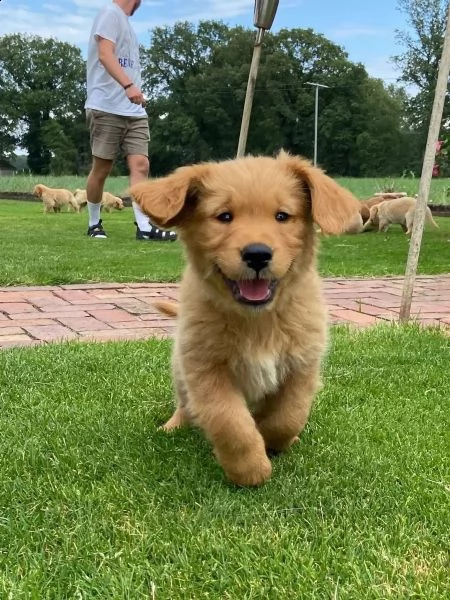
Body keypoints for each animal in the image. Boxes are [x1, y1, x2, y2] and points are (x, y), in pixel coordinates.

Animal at [129, 150, 358, 488]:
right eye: (224, 217)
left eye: (282, 216)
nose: (257, 254)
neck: (257, 320)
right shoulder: (205, 368)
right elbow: (230, 422)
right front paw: (250, 470)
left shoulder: (303, 364)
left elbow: (288, 415)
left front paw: (274, 440)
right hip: (180, 369)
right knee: (184, 403)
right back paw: (173, 426)